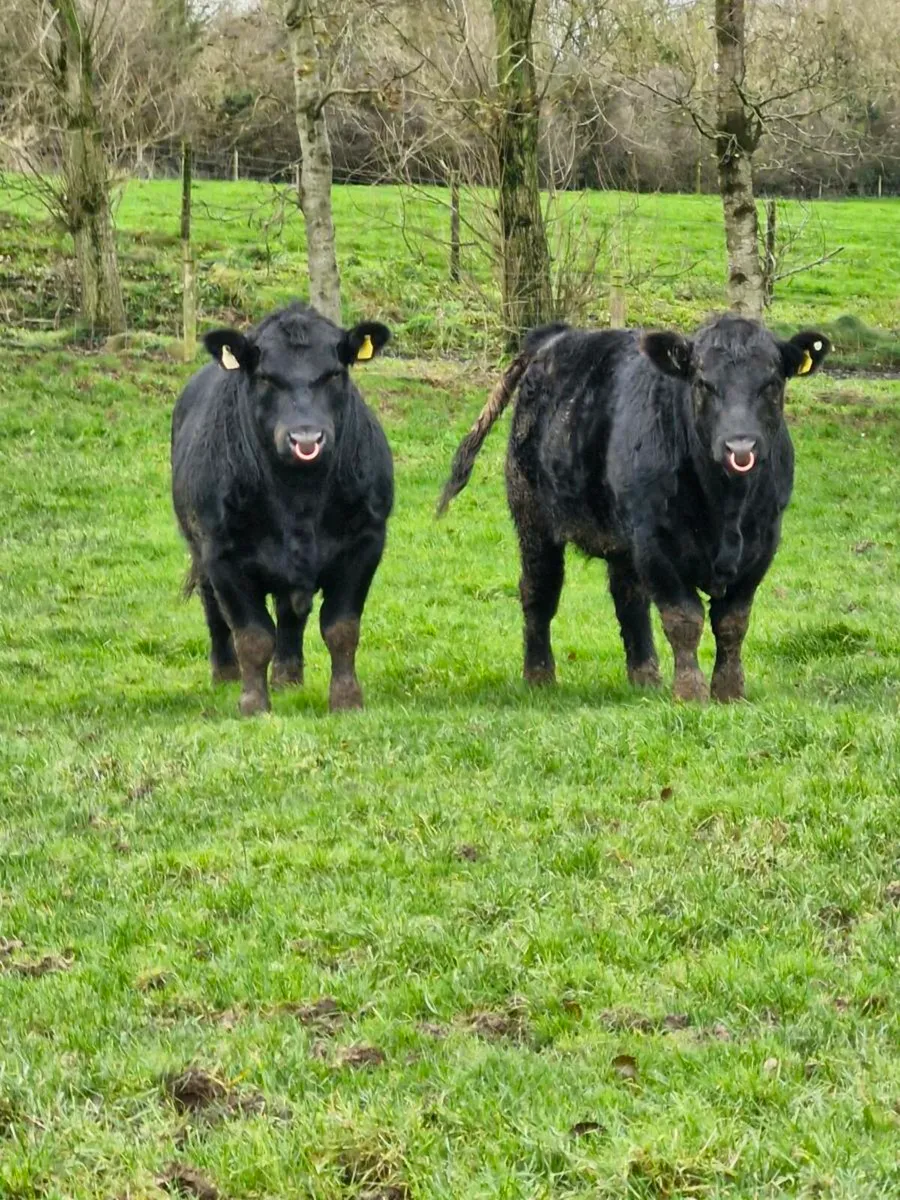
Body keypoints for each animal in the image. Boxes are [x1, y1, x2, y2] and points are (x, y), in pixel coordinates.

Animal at [171, 301, 393, 716]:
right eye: (265, 378)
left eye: (334, 373)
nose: (306, 438)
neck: (299, 501)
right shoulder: (222, 554)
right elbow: (252, 635)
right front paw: (253, 704)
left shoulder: (365, 542)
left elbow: (341, 628)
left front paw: (346, 700)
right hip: (198, 546)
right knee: (214, 611)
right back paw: (225, 674)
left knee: (291, 613)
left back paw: (288, 677)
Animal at [437, 313, 830, 702]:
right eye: (703, 383)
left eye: (772, 383)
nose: (740, 446)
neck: (726, 509)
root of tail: (555, 335)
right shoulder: (656, 542)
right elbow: (684, 619)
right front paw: (690, 692)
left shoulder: (763, 542)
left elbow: (733, 622)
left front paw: (729, 692)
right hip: (533, 514)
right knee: (540, 590)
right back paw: (540, 677)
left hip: (621, 538)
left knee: (628, 598)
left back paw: (645, 677)